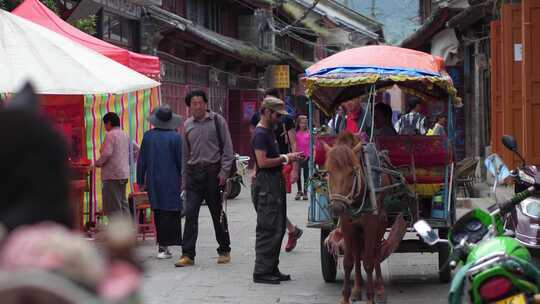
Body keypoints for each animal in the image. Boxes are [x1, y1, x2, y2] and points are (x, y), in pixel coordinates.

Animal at [322, 142, 390, 304]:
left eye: (352, 173)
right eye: (329, 172)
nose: (337, 207)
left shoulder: (371, 225)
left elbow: (369, 262)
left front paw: (371, 297)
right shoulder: (347, 225)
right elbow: (348, 262)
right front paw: (345, 297)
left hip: (381, 223)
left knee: (376, 253)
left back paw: (380, 290)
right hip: (357, 231)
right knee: (358, 255)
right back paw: (357, 290)